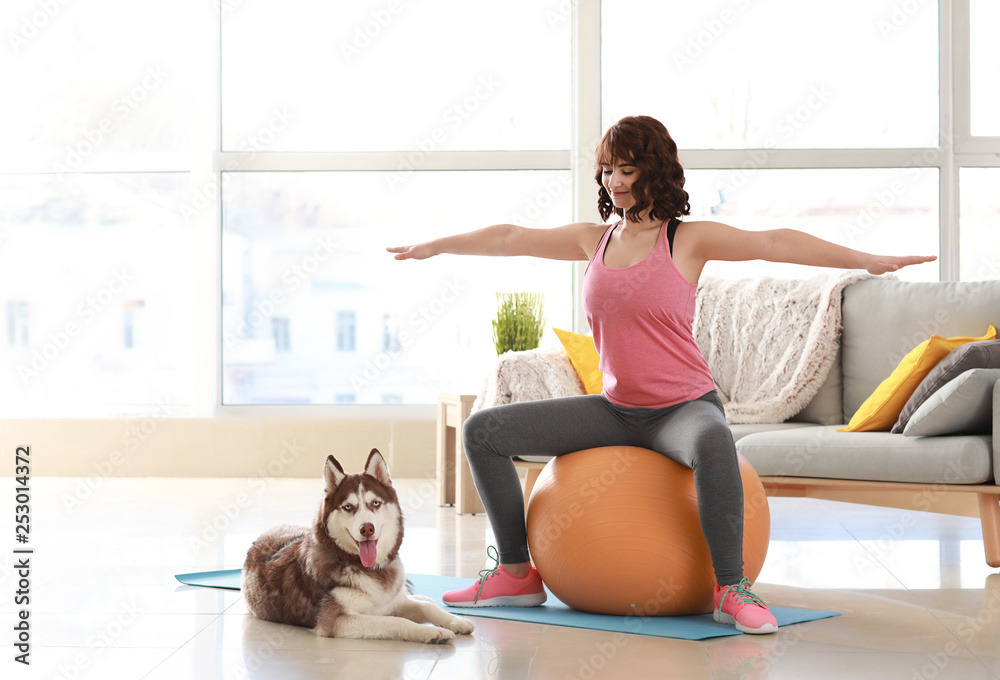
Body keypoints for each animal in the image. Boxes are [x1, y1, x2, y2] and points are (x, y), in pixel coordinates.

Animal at [243, 448, 476, 644]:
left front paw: (455, 621)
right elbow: (395, 621)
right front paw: (433, 632)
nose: (367, 529)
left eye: (376, 503)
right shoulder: (336, 620)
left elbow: (426, 607)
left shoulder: (391, 602)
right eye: (348, 507)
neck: (369, 569)